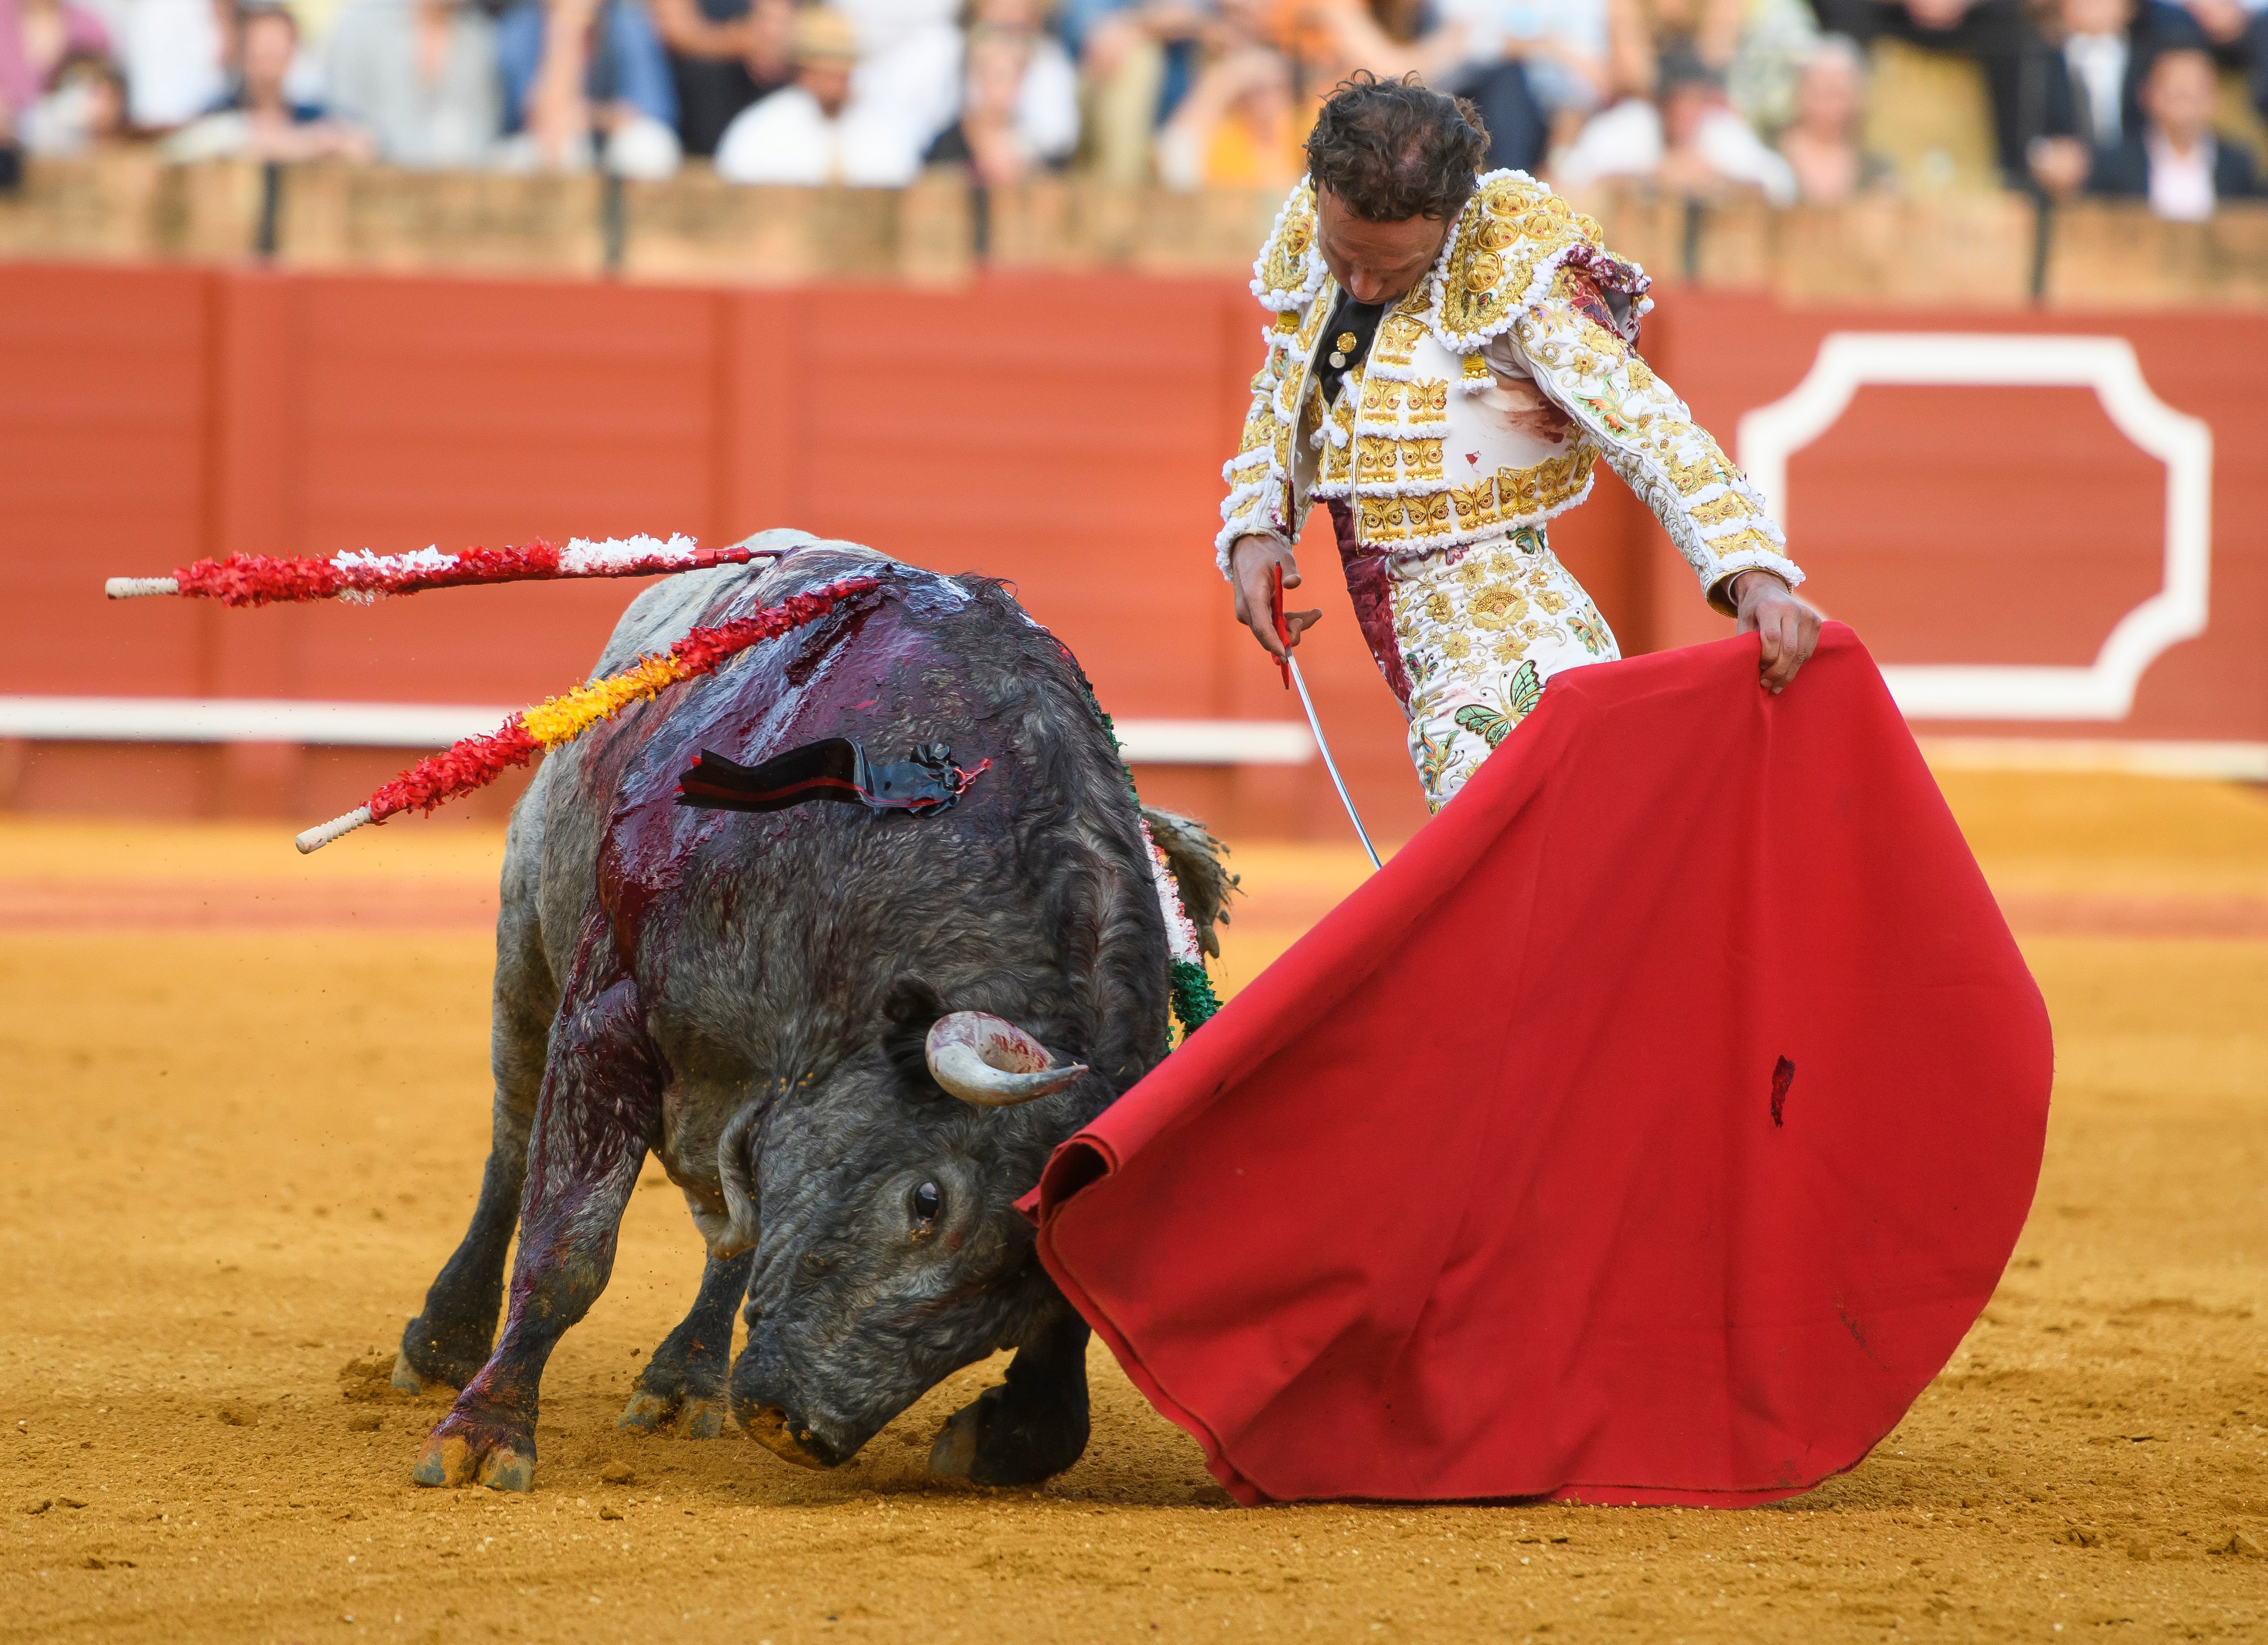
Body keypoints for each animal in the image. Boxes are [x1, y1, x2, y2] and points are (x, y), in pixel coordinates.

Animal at [388, 533, 1225, 1479]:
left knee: (736, 1233)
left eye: (1041, 1274)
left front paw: (1001, 1435)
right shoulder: (609, 1008)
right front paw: (484, 1431)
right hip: (525, 944)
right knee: (511, 1142)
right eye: (927, 1201)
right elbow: (568, 1242)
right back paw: (444, 1342)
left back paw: (685, 1377)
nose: (803, 1426)